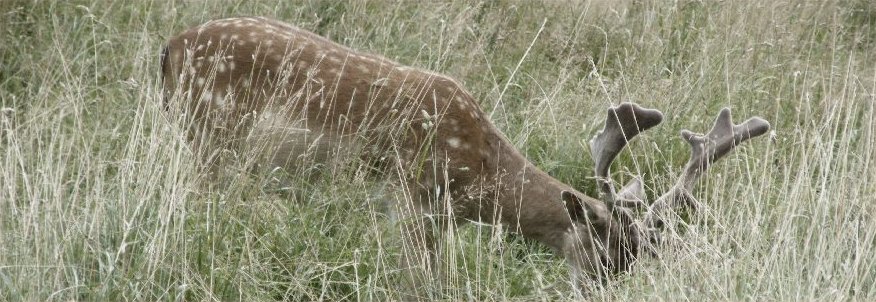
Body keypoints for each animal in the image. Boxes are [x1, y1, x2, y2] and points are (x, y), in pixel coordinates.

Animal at [161, 16, 768, 298]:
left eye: (636, 263)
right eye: (606, 256)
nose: (596, 294)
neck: (480, 178)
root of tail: (169, 48)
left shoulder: (439, 216)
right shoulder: (410, 197)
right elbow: (423, 284)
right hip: (210, 135)